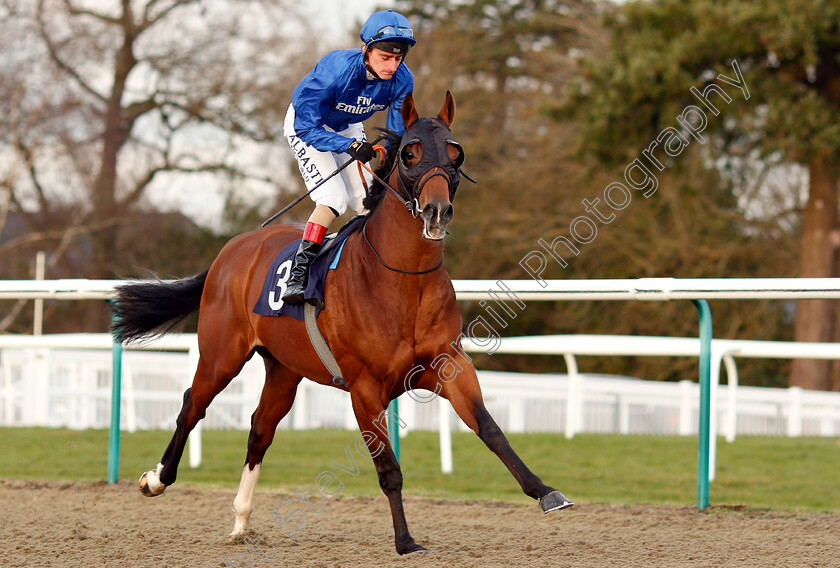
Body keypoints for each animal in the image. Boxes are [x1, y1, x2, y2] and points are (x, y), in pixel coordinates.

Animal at [113, 92, 572, 556]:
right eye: (410, 153)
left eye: (456, 153)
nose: (437, 211)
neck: (401, 280)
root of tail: (232, 249)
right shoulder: (364, 387)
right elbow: (388, 468)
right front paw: (405, 541)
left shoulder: (449, 365)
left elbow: (491, 430)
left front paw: (547, 492)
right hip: (221, 354)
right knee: (193, 405)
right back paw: (156, 479)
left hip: (284, 369)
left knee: (260, 428)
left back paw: (241, 520)